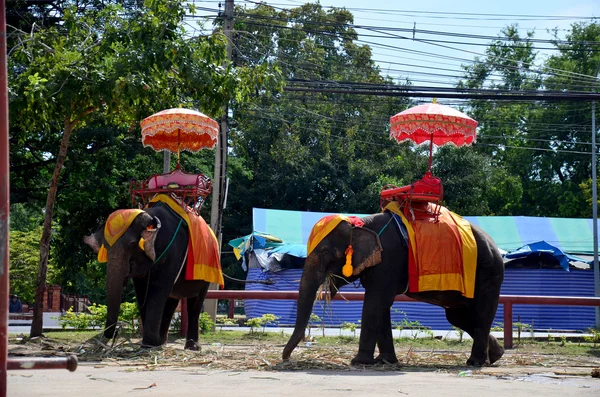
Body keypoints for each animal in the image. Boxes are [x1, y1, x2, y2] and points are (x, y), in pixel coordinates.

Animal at [83, 203, 217, 348]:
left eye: (132, 244)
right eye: (105, 247)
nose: (116, 333)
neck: (150, 217)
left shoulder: (172, 251)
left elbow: (158, 289)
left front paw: (149, 345)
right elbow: (142, 292)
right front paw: (150, 344)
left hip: (207, 273)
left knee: (195, 303)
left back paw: (192, 348)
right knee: (171, 302)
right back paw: (162, 343)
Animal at [284, 210, 504, 366]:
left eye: (325, 253)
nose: (286, 359)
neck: (362, 224)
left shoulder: (388, 259)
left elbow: (375, 302)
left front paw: (359, 362)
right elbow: (381, 306)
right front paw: (385, 361)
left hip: (488, 273)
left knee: (481, 315)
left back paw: (476, 362)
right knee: (459, 317)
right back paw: (495, 356)